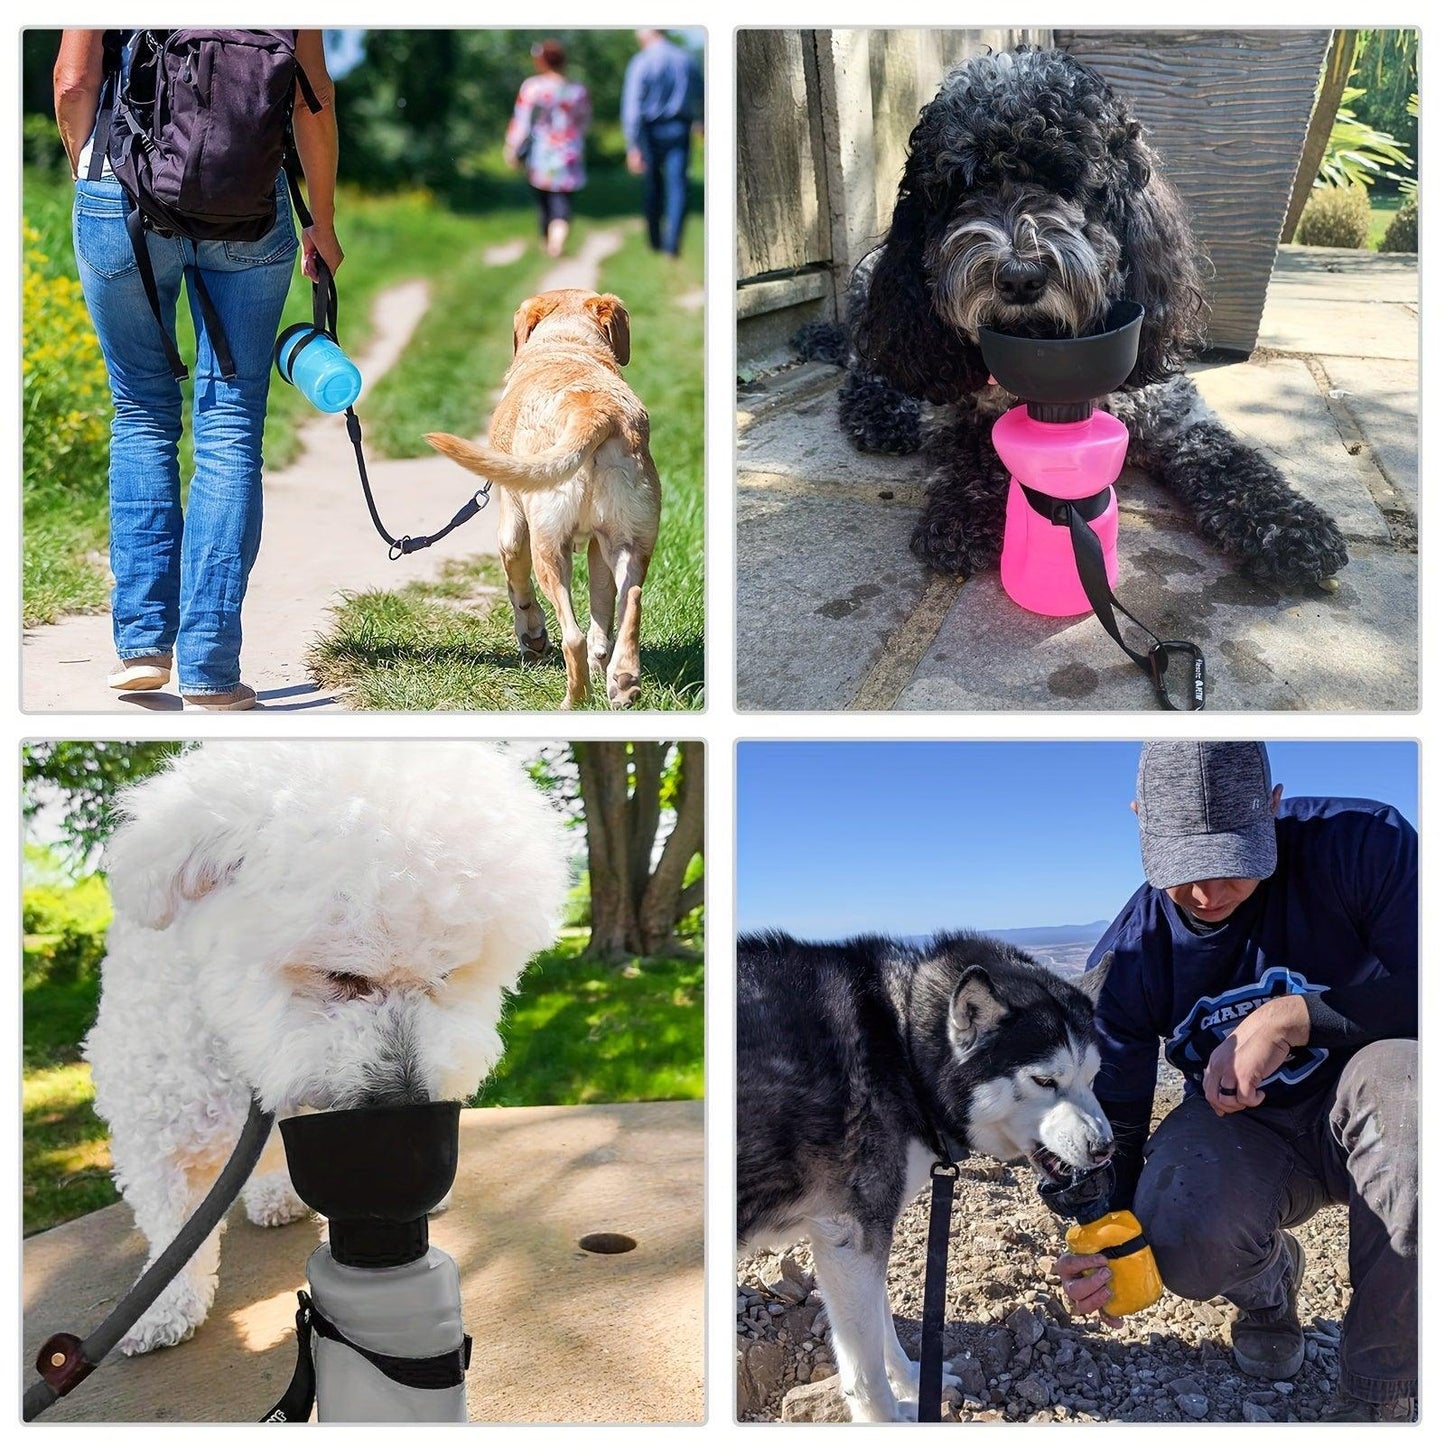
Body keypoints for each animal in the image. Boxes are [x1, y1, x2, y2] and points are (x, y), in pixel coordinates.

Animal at [83, 739, 569, 1358]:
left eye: (446, 975)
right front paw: (163, 1308)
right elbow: (173, 1234)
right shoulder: (155, 1134)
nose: (407, 1102)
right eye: (341, 976)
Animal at [421, 286, 661, 705]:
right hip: (630, 542)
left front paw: (531, 637)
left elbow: (518, 586)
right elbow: (602, 608)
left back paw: (574, 700)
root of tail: (594, 411)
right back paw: (622, 681)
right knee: (628, 604)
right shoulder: (598, 548)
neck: (567, 343)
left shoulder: (513, 530)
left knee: (573, 637)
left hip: (547, 546)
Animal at [739, 930, 1109, 1416]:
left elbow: (884, 1328)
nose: (1105, 1149)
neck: (903, 1051)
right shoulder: (851, 1237)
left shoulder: (862, 1237)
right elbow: (864, 1372)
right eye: (1045, 1081)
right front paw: (890, 1417)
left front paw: (915, 1384)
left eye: (1093, 1077)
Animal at [809, 46, 1346, 586]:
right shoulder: (963, 404)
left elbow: (1228, 459)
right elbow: (970, 447)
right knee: (867, 365)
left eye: (1067, 183)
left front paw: (1289, 524)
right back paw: (880, 412)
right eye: (961, 190)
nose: (1019, 276)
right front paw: (962, 512)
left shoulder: (1173, 413)